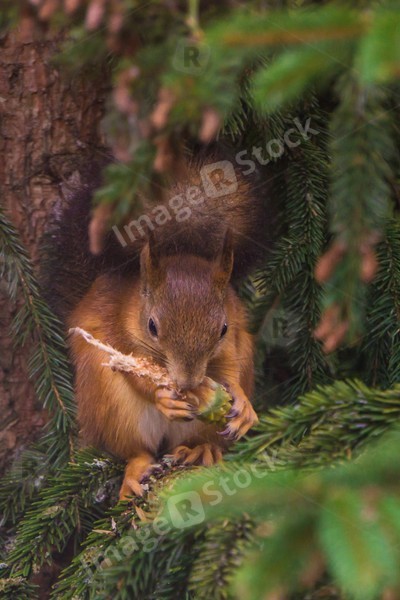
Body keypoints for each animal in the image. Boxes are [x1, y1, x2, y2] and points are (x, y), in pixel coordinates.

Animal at [49, 149, 277, 499]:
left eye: (222, 329)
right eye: (152, 326)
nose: (186, 383)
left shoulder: (234, 335)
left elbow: (230, 365)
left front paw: (242, 402)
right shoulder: (116, 332)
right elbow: (134, 371)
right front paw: (162, 395)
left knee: (198, 441)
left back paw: (202, 450)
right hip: (113, 411)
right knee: (136, 450)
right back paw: (136, 471)